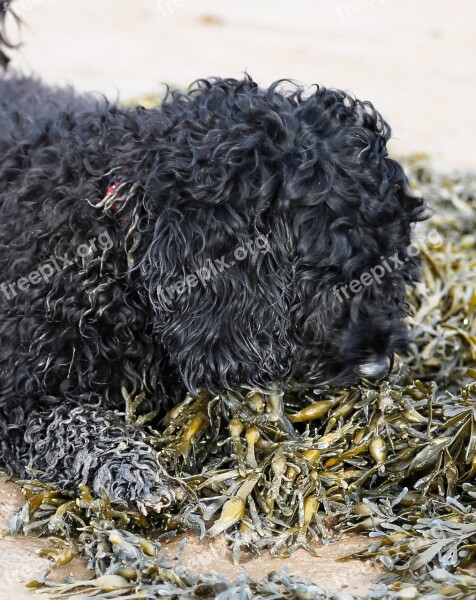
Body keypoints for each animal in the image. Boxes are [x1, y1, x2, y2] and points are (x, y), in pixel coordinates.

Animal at [0, 7, 424, 508]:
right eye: (327, 275)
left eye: (393, 261)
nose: (380, 367)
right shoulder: (16, 391)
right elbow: (72, 425)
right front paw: (130, 469)